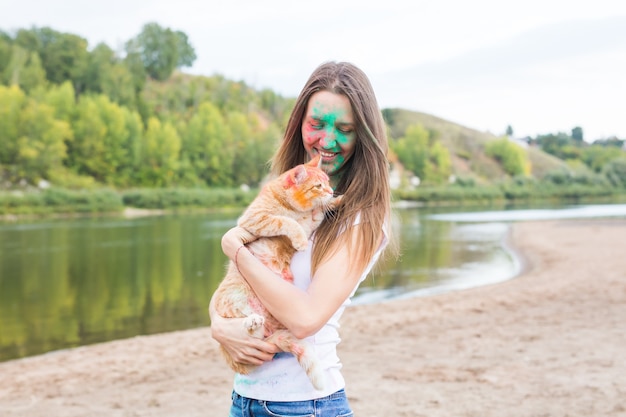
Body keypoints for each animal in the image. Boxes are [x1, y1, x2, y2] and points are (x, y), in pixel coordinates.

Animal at [211, 155, 338, 390]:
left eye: (328, 182)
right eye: (318, 186)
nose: (331, 190)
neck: (297, 209)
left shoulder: (309, 224)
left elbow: (317, 215)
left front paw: (337, 201)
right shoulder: (255, 219)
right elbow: (285, 221)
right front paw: (299, 237)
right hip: (235, 298)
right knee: (248, 327)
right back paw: (252, 322)